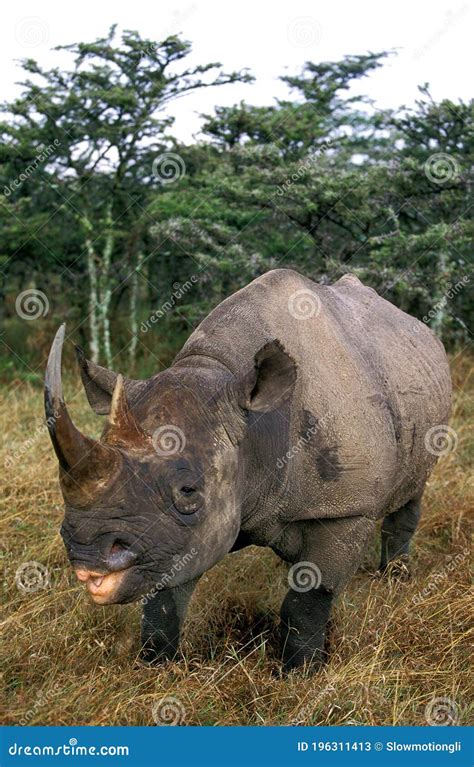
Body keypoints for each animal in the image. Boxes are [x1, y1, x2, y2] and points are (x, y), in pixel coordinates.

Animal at [45, 269, 452, 671]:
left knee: (413, 491)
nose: (86, 553)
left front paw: (300, 673)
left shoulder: (348, 508)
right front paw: (155, 667)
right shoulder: (177, 536)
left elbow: (308, 601)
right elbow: (165, 596)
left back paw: (395, 579)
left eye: (188, 491)